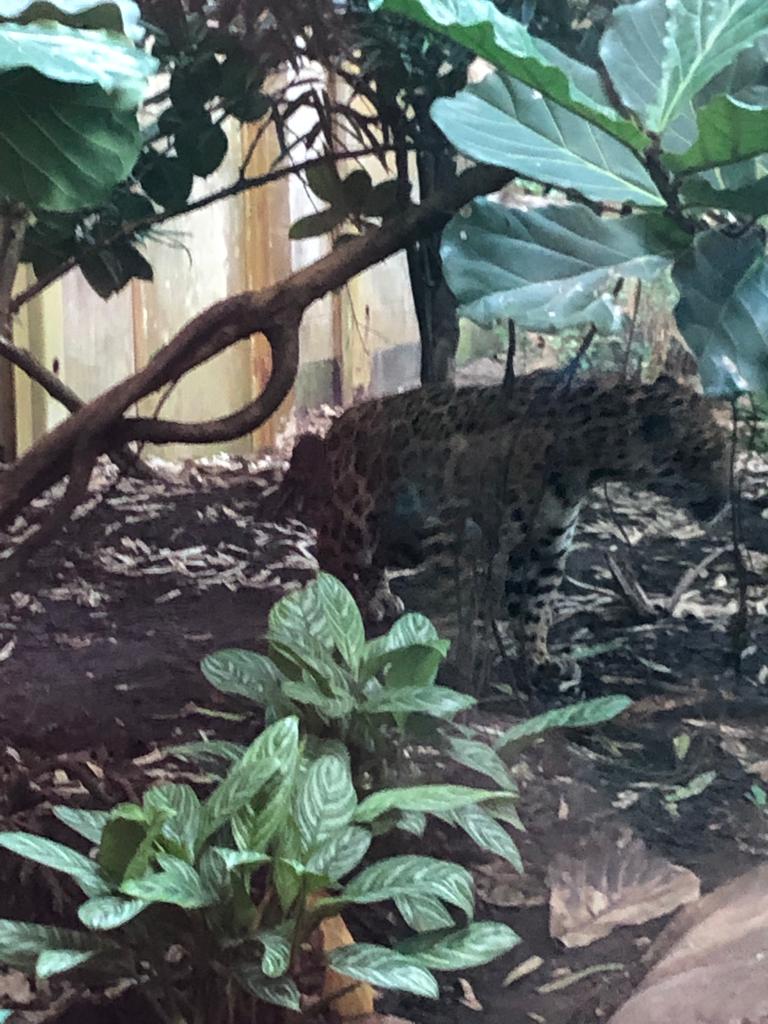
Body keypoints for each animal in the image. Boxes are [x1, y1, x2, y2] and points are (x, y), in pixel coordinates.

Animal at [280, 371, 729, 677]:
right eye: (706, 454)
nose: (727, 500)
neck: (585, 462)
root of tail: (342, 420)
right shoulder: (456, 533)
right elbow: (457, 601)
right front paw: (457, 659)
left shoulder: (548, 544)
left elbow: (537, 605)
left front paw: (539, 659)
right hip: (356, 520)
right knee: (328, 550)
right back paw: (338, 596)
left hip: (400, 537)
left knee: (374, 562)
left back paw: (380, 598)